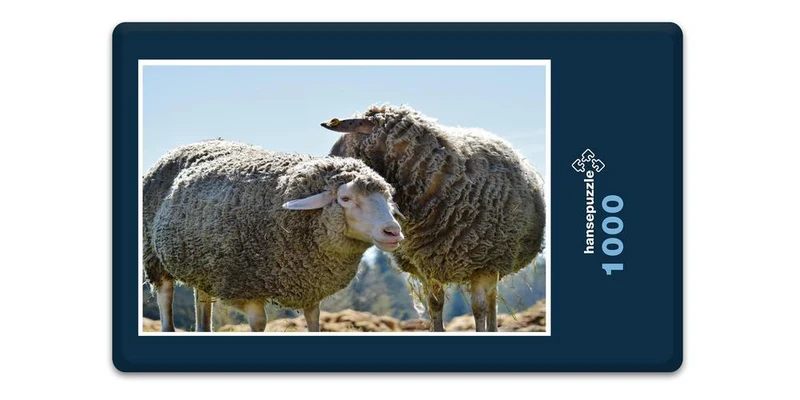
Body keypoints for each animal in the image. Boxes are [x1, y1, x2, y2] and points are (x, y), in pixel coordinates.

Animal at [142, 139, 404, 332]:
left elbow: (314, 319)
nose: (393, 231)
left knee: (202, 305)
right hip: (153, 256)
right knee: (165, 298)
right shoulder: (246, 286)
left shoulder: (309, 285)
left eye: (387, 198)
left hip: (203, 266)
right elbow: (259, 323)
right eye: (346, 198)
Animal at [322, 104, 545, 332]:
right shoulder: (428, 267)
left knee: (489, 303)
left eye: (344, 143)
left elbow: (478, 308)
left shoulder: (483, 264)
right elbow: (435, 305)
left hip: (495, 262)